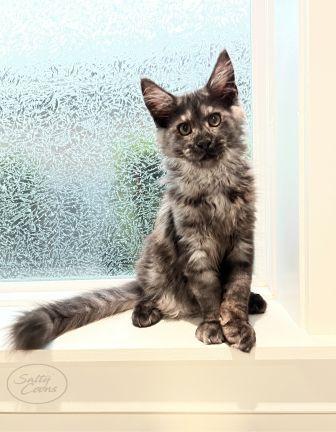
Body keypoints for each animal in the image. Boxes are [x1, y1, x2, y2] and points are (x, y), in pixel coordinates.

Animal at [10, 51, 266, 354]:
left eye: (214, 120)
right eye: (184, 129)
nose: (203, 142)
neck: (212, 180)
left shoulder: (242, 241)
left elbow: (236, 290)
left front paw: (239, 326)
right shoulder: (194, 247)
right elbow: (209, 294)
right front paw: (213, 325)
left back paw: (254, 301)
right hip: (154, 257)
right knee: (150, 295)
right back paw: (145, 312)